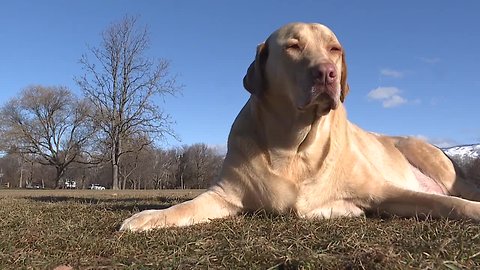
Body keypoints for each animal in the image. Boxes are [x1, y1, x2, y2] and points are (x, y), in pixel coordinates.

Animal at [120, 22, 480, 231]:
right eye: (293, 46)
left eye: (334, 49)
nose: (327, 73)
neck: (294, 144)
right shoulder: (224, 194)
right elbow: (186, 205)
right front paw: (148, 216)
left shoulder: (384, 191)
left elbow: (446, 203)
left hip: (426, 155)